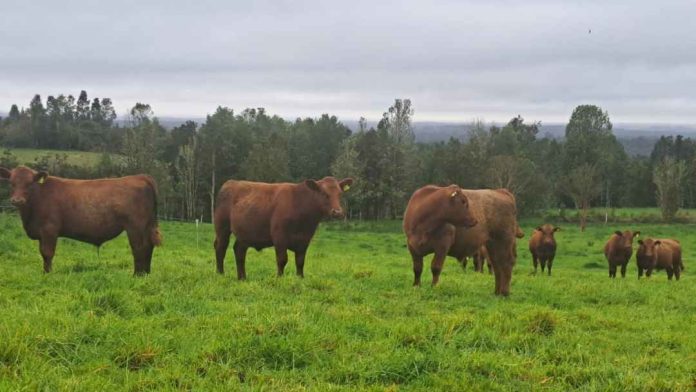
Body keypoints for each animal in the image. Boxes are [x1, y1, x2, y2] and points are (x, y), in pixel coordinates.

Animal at [0, 167, 162, 274]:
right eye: (11, 183)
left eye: (29, 183)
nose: (17, 200)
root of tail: (140, 176)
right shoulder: (41, 233)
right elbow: (42, 253)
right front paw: (45, 272)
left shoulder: (49, 229)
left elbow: (47, 252)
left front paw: (48, 274)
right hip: (147, 225)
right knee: (149, 246)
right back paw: (146, 273)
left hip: (135, 226)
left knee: (139, 248)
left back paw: (137, 275)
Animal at [213, 176, 356, 280]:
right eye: (324, 193)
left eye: (340, 194)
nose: (337, 212)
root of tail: (230, 182)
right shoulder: (280, 236)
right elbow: (282, 259)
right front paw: (280, 278)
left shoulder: (304, 239)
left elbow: (300, 261)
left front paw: (300, 278)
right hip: (222, 227)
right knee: (221, 247)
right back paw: (220, 274)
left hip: (245, 232)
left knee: (239, 251)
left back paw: (242, 277)